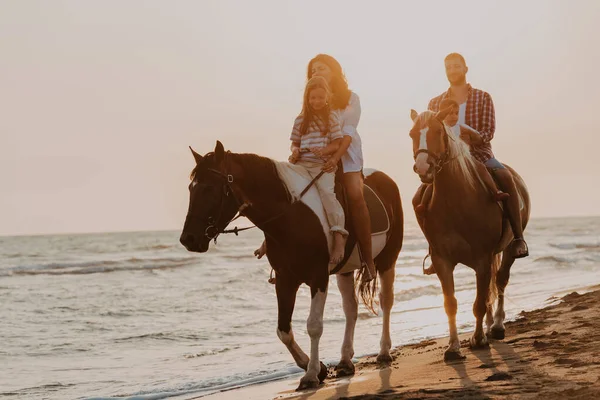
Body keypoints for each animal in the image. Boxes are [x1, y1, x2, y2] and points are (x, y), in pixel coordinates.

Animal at [178, 142, 404, 390]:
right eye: (190, 188)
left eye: (209, 188)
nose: (188, 239)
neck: (290, 216)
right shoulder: (285, 278)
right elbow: (283, 330)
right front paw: (318, 368)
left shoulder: (318, 276)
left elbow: (314, 325)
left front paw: (311, 374)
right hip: (345, 270)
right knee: (350, 308)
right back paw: (345, 361)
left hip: (388, 259)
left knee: (386, 301)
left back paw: (384, 352)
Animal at [408, 108, 528, 360]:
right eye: (412, 133)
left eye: (437, 131)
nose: (423, 167)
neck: (457, 201)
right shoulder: (442, 261)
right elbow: (450, 304)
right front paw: (453, 347)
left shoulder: (482, 259)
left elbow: (479, 303)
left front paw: (478, 339)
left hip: (508, 250)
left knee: (500, 281)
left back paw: (497, 327)